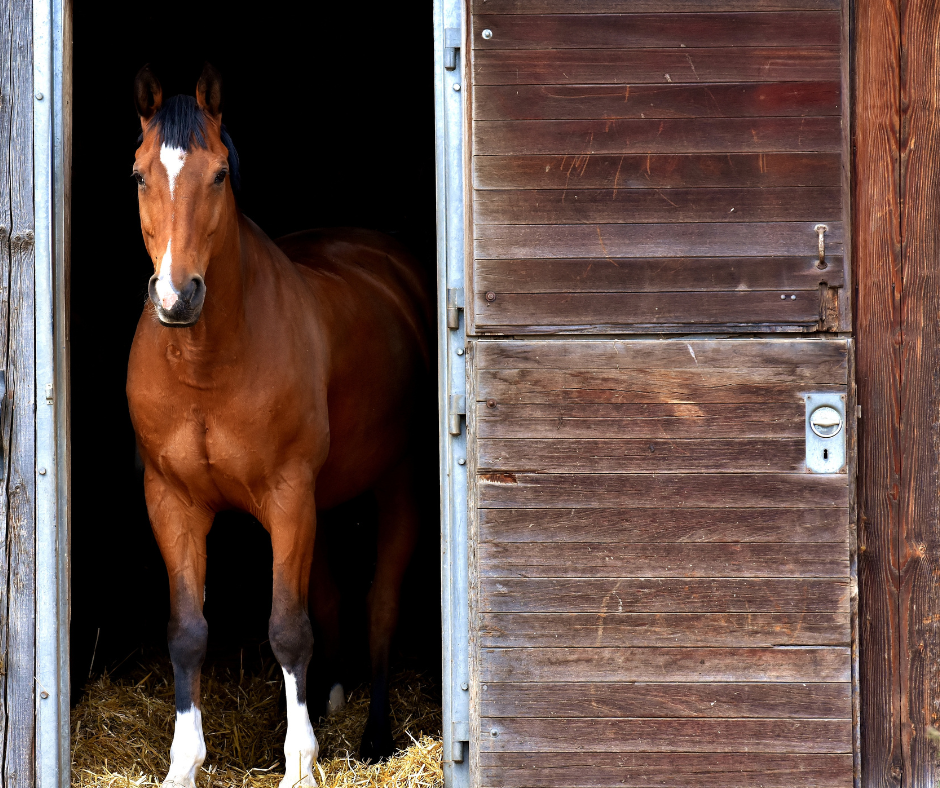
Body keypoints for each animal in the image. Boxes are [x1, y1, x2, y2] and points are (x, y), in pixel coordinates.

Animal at [125, 64, 433, 788]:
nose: (177, 298)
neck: (206, 364)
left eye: (218, 175)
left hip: (396, 485)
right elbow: (188, 630)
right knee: (333, 599)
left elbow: (289, 628)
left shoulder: (289, 497)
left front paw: (300, 765)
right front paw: (184, 763)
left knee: (380, 606)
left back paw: (374, 735)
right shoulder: (171, 502)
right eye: (139, 174)